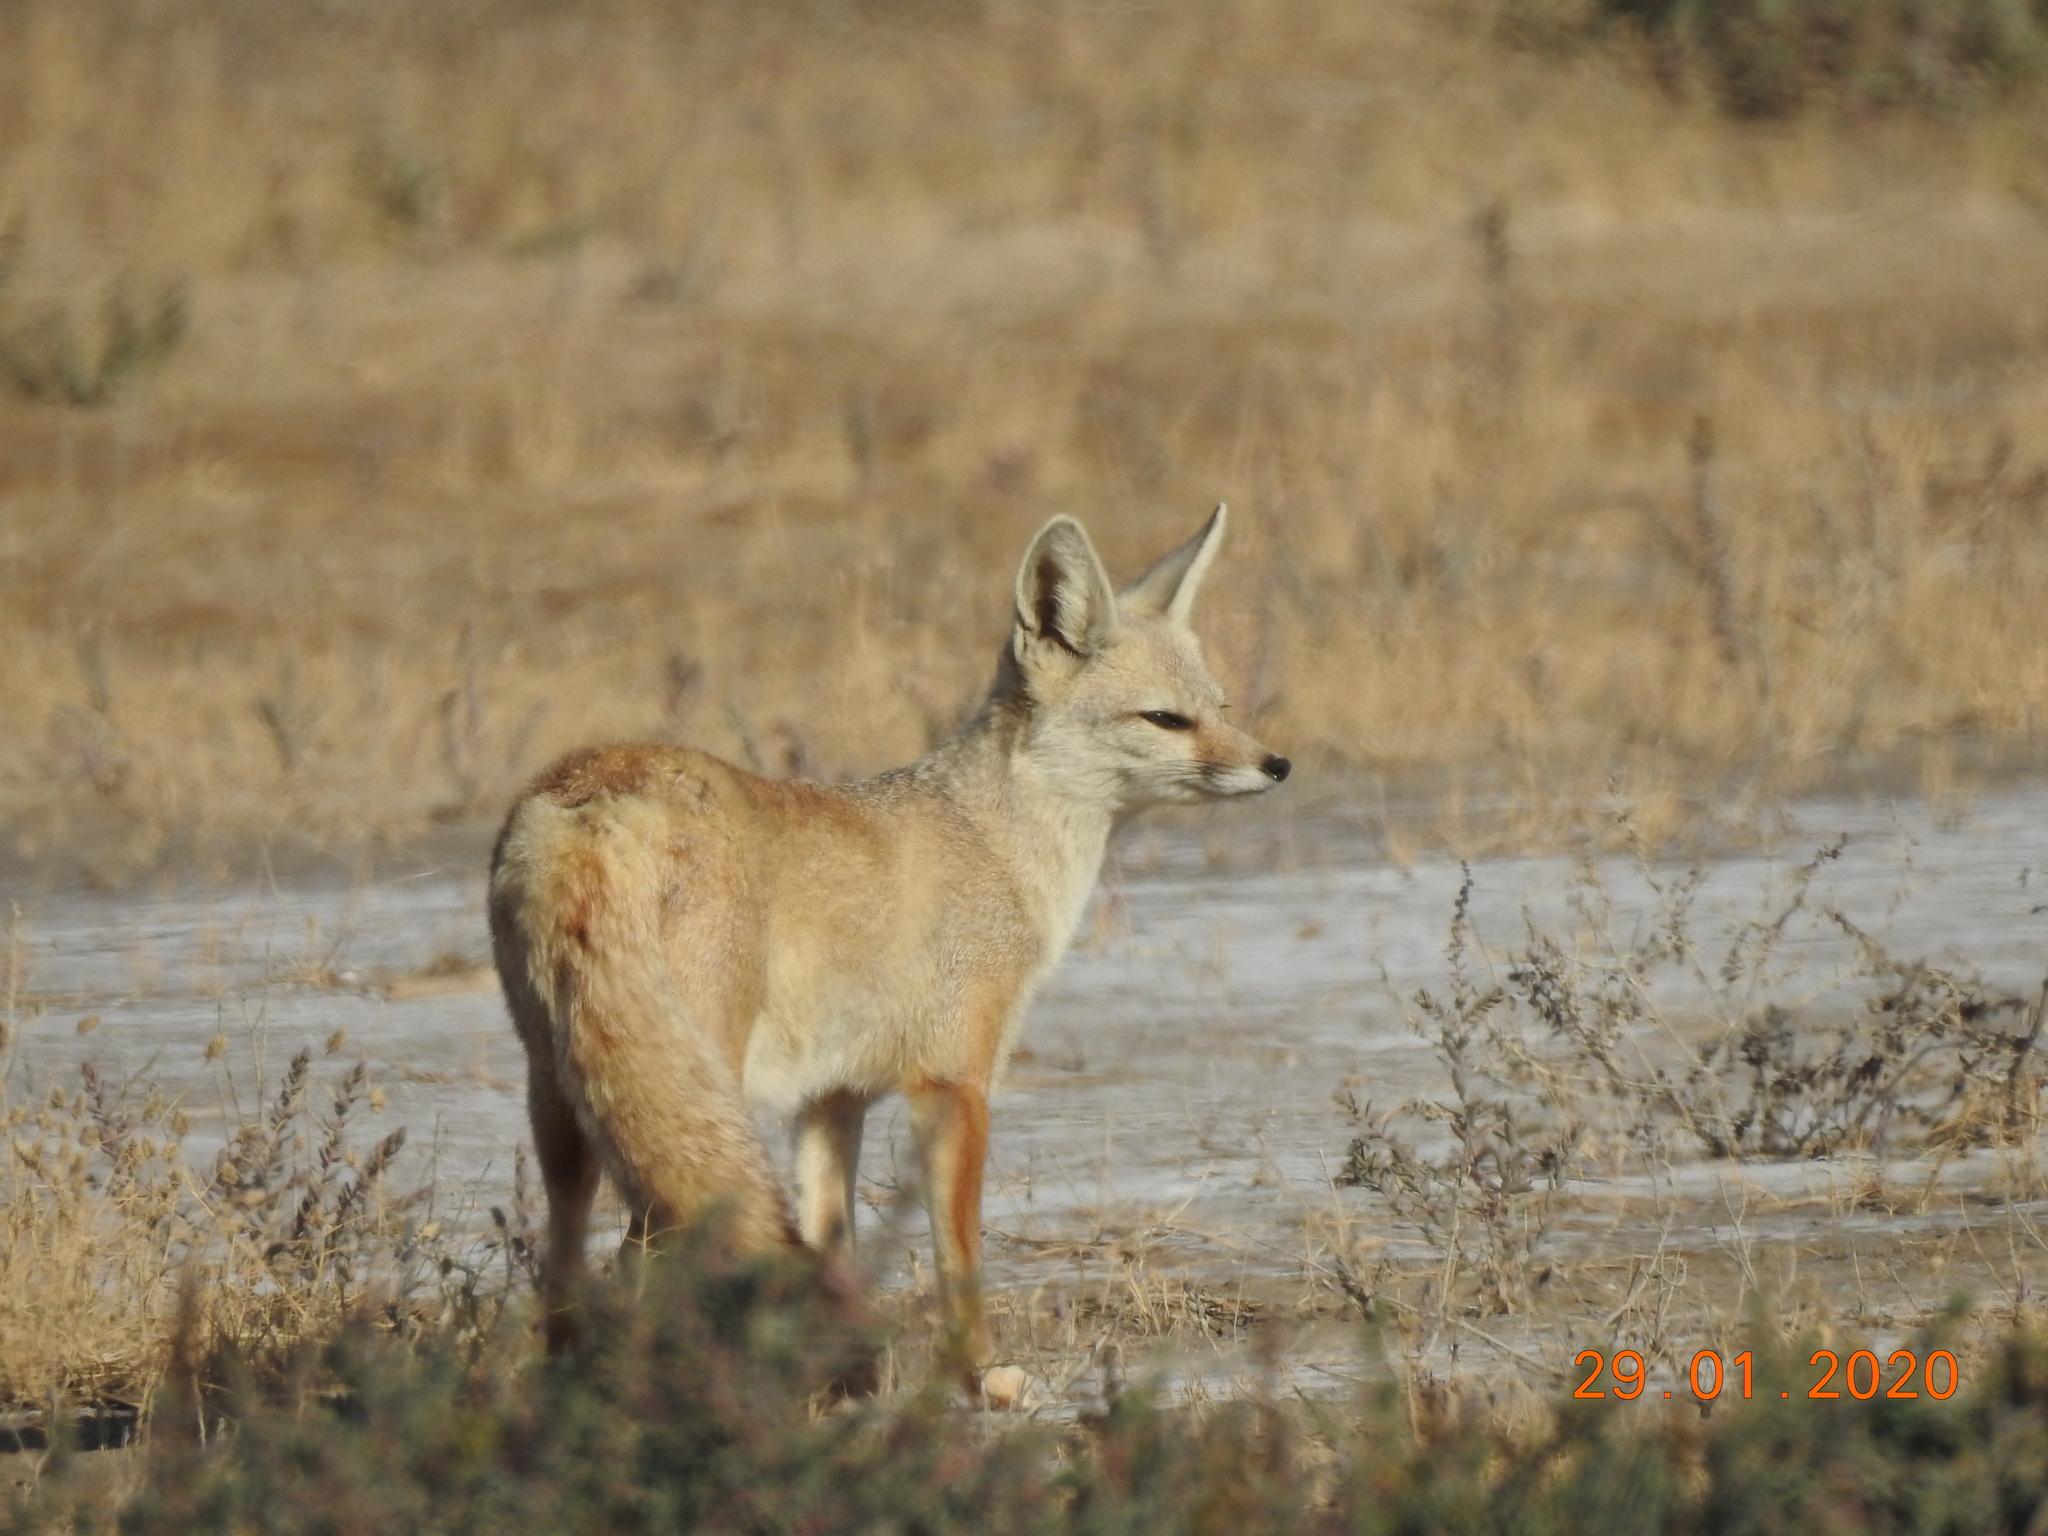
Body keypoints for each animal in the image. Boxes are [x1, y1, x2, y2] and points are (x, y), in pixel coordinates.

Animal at [488, 505, 1288, 1401]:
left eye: (1221, 706)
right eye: (1166, 720)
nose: (1277, 764)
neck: (993, 840)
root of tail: (588, 793)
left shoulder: (832, 1101)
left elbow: (831, 1241)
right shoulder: (955, 1082)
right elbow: (957, 1257)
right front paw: (979, 1375)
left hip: (570, 1113)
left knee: (563, 1274)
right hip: (687, 1107)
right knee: (640, 1265)